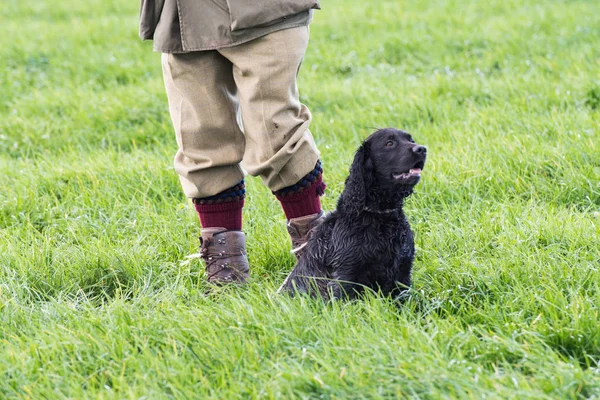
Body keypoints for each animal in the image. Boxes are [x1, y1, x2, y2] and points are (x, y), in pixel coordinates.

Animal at [280, 128, 426, 300]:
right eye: (389, 143)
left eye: (411, 140)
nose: (422, 149)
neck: (380, 215)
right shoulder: (346, 276)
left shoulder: (402, 272)